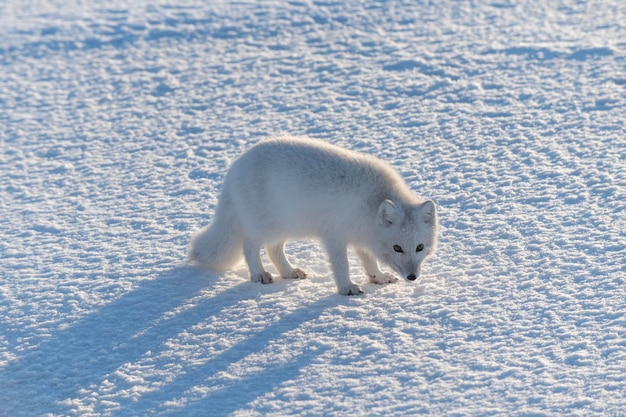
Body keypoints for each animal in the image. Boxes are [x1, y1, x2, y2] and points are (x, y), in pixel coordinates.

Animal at [188, 136, 436, 296]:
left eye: (420, 247)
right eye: (397, 248)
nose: (412, 277)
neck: (371, 202)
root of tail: (235, 166)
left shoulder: (360, 235)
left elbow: (369, 261)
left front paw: (379, 277)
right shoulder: (334, 235)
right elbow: (342, 265)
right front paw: (347, 288)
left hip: (284, 225)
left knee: (273, 249)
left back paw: (289, 272)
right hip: (264, 226)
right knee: (250, 247)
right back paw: (260, 275)